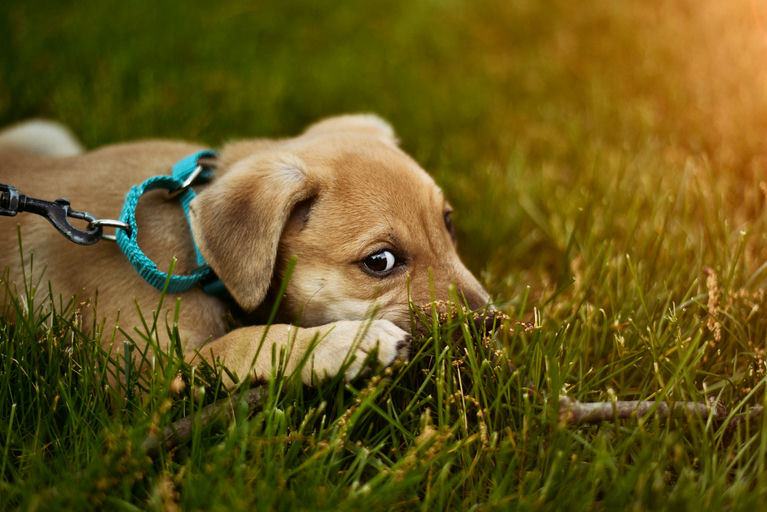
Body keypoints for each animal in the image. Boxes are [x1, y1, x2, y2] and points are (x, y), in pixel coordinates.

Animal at [0, 116, 488, 386]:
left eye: (448, 223)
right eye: (380, 262)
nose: (489, 323)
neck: (195, 252)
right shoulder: (142, 374)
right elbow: (249, 340)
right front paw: (350, 343)